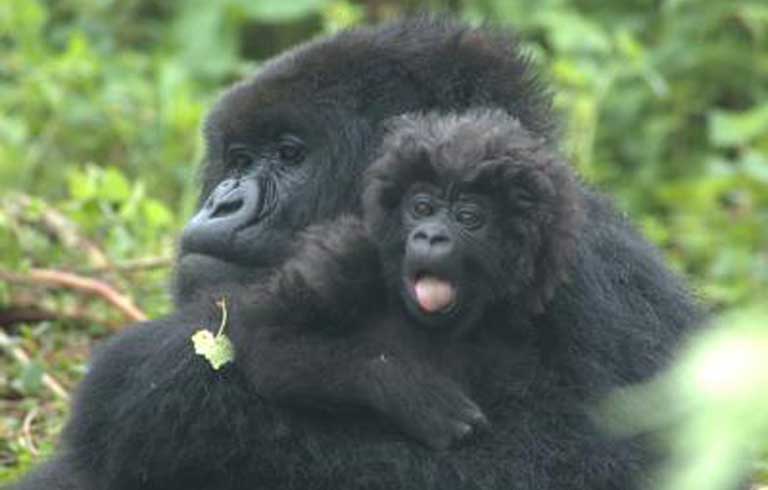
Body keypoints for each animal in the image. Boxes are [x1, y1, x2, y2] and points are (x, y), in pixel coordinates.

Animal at [231, 109, 580, 450]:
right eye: (422, 208)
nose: (431, 235)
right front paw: (412, 393)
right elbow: (269, 341)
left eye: (467, 218)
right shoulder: (342, 258)